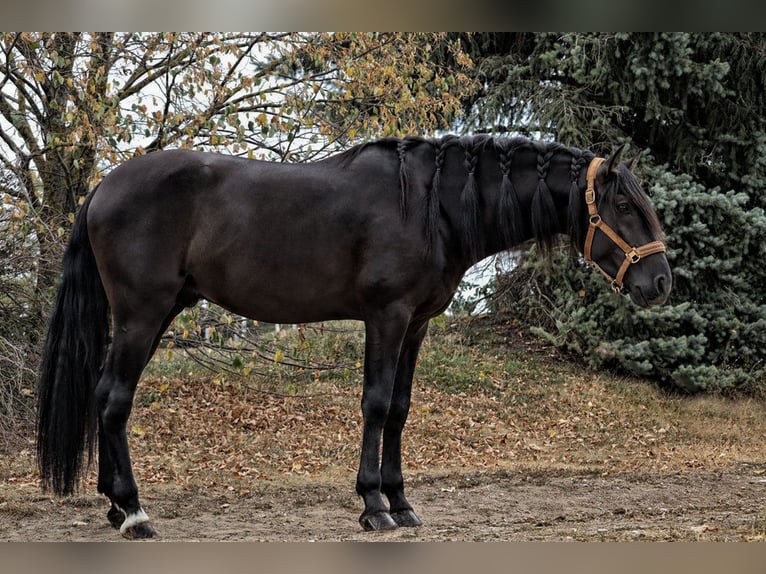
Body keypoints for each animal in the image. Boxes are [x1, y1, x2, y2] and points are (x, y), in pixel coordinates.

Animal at [36, 136, 672, 540]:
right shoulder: (386, 316)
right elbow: (377, 404)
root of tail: (103, 188)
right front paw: (373, 505)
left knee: (104, 397)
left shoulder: (417, 323)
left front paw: (401, 501)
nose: (660, 282)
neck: (430, 205)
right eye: (622, 203)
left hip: (157, 313)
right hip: (142, 314)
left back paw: (114, 506)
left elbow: (402, 409)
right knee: (114, 401)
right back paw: (135, 513)